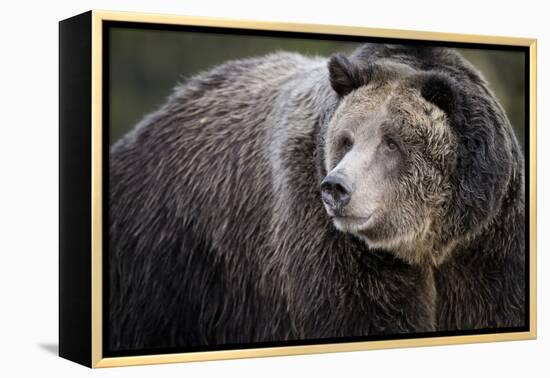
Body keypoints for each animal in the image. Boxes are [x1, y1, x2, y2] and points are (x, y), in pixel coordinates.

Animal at [108, 42, 528, 350]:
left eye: (391, 142)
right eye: (346, 139)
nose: (336, 187)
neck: (425, 243)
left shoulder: (487, 243)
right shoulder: (329, 240)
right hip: (171, 257)